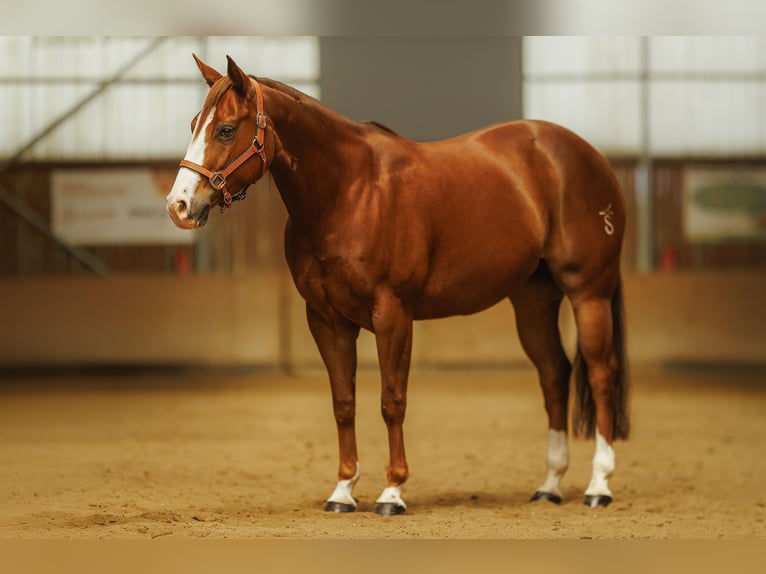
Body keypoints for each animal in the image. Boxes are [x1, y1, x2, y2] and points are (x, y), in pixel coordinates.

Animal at [166, 55, 630, 515]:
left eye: (226, 129)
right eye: (192, 123)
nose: (179, 205)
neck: (349, 192)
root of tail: (586, 155)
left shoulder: (393, 314)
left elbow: (392, 401)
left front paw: (392, 492)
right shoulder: (327, 320)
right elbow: (343, 403)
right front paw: (343, 491)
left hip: (589, 293)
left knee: (601, 375)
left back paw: (599, 486)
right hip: (534, 301)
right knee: (555, 374)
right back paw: (550, 485)